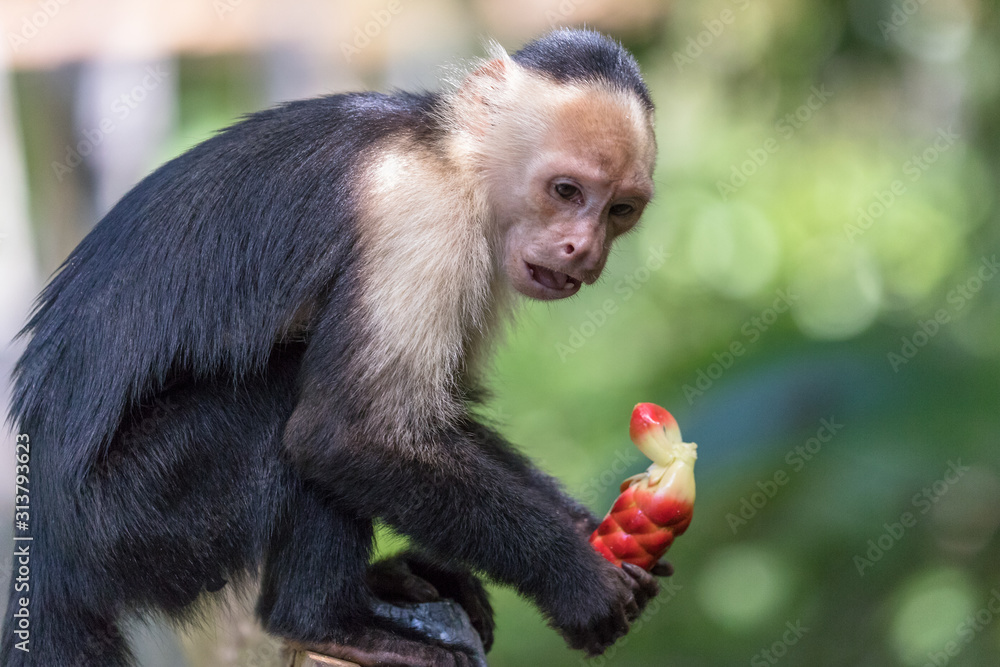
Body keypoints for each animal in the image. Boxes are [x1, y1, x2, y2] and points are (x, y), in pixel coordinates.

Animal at [2, 28, 664, 667]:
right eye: (566, 191)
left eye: (619, 210)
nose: (584, 249)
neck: (450, 159)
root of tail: (49, 551)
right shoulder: (423, 216)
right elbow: (349, 435)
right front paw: (574, 578)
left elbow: (434, 418)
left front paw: (583, 525)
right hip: (128, 527)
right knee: (282, 405)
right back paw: (322, 622)